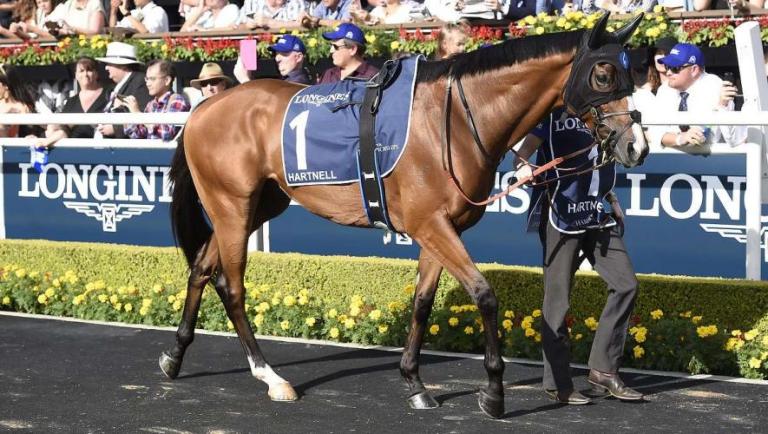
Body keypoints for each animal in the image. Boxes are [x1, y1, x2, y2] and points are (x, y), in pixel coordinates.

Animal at [159, 13, 647, 418]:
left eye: (633, 75)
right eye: (604, 73)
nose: (636, 146)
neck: (454, 121)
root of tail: (204, 108)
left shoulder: (439, 228)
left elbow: (422, 303)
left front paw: (415, 382)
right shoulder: (429, 224)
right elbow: (484, 295)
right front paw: (493, 392)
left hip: (259, 202)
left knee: (201, 267)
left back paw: (174, 356)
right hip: (232, 205)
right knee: (231, 285)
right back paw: (271, 376)